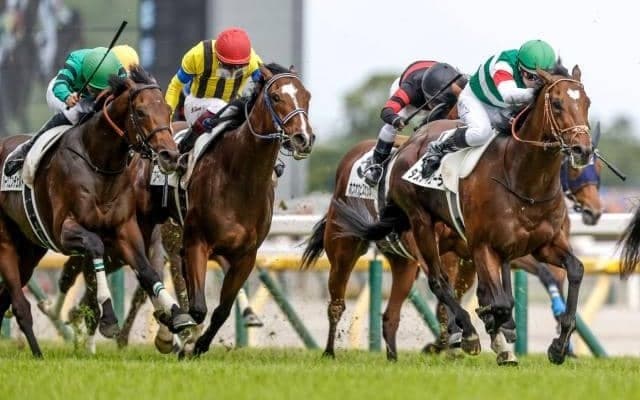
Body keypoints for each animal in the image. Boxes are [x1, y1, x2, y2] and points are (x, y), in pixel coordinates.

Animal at [0, 66, 195, 357]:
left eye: (168, 110)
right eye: (140, 112)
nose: (170, 156)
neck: (99, 164)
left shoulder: (125, 229)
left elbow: (147, 270)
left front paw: (176, 316)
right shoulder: (65, 230)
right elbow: (95, 248)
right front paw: (109, 318)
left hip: (30, 247)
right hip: (6, 244)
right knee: (21, 304)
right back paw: (39, 351)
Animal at [166, 63, 315, 356]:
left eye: (307, 96)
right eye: (276, 97)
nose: (303, 137)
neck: (240, 178)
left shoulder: (246, 255)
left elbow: (221, 310)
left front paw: (200, 345)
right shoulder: (197, 242)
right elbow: (198, 308)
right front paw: (185, 339)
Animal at [329, 65, 592, 365]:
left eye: (586, 103)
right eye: (557, 103)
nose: (583, 150)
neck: (524, 181)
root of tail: (411, 143)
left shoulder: (542, 245)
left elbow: (575, 270)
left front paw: (557, 346)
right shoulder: (482, 246)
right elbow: (499, 301)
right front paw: (487, 328)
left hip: (409, 258)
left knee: (397, 310)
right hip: (409, 228)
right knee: (434, 282)